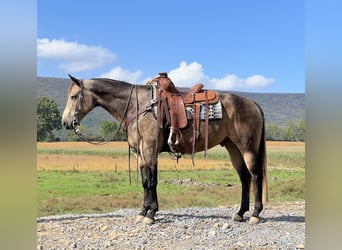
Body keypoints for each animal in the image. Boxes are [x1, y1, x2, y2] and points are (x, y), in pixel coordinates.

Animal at [62, 73, 268, 225]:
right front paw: (143, 211)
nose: (65, 122)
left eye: (74, 96)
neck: (138, 105)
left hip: (247, 148)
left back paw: (255, 214)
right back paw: (240, 213)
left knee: (255, 175)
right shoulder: (140, 154)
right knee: (244, 177)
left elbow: (152, 182)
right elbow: (145, 181)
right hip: (232, 147)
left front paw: (151, 214)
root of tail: (253, 104)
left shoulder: (150, 150)